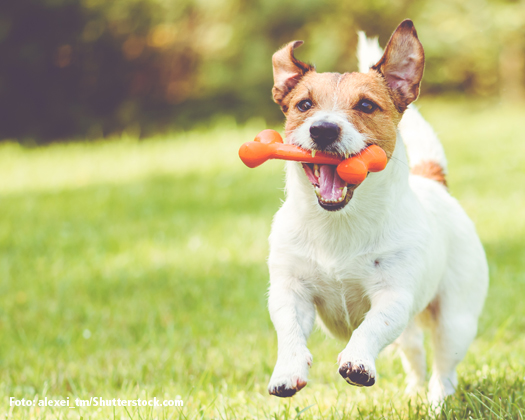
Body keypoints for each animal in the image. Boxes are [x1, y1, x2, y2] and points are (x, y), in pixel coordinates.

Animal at [266, 18, 488, 404]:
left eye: (367, 106)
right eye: (304, 105)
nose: (323, 129)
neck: (339, 223)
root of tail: (433, 181)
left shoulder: (394, 295)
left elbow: (371, 327)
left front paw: (358, 361)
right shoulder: (289, 289)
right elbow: (289, 329)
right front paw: (287, 371)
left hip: (455, 320)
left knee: (444, 369)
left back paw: (436, 402)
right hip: (412, 331)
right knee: (415, 354)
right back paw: (414, 394)